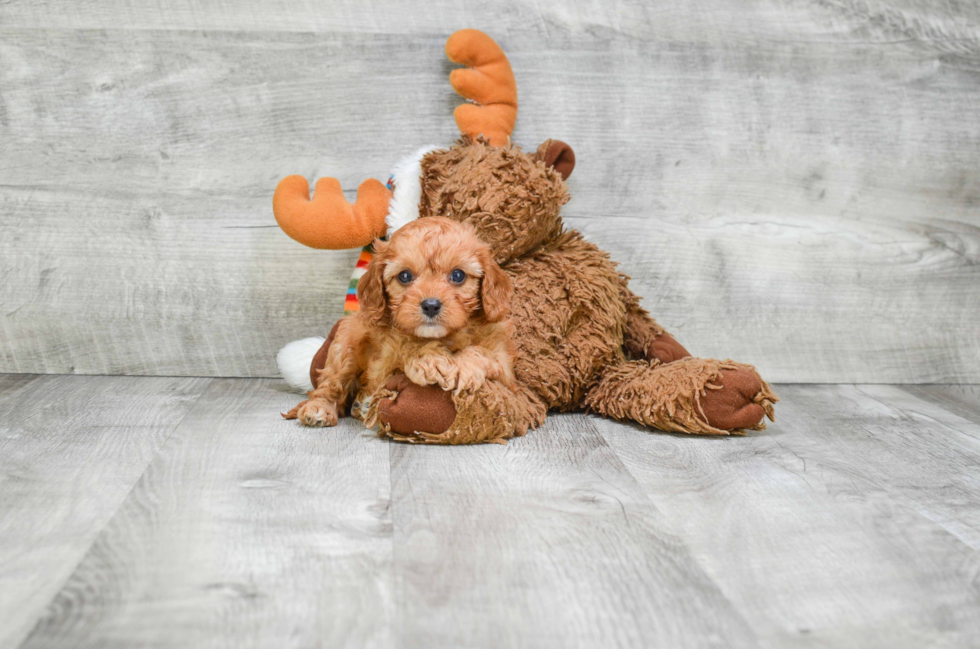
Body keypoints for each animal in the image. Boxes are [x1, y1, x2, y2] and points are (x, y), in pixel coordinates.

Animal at [282, 218, 512, 428]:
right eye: (405, 276)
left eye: (458, 275)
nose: (430, 305)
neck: (443, 336)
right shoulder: (381, 367)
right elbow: (405, 348)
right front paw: (430, 359)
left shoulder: (507, 372)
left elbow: (484, 353)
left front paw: (463, 366)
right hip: (346, 340)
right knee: (329, 384)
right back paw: (320, 408)